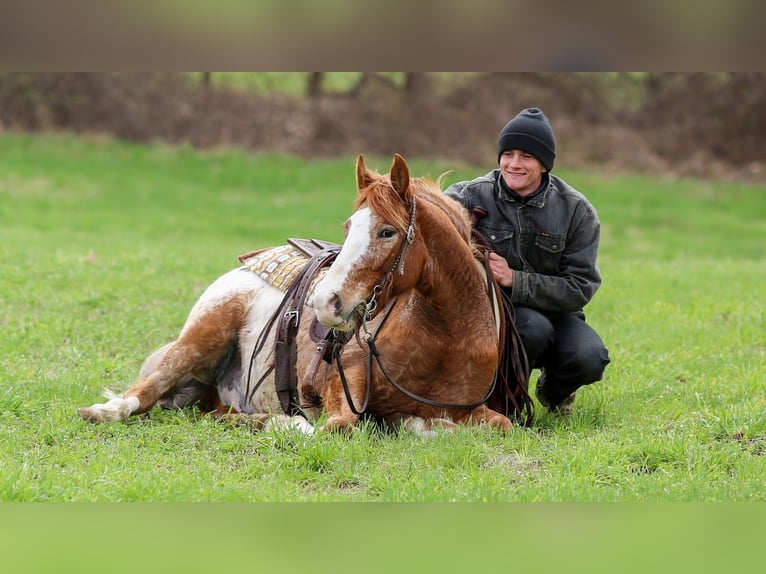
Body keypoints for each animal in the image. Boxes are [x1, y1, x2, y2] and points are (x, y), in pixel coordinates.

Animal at [78, 154, 526, 435]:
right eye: (348, 226)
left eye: (387, 232)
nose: (326, 302)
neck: (446, 337)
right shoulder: (340, 379)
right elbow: (338, 426)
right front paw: (287, 423)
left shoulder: (476, 412)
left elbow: (495, 426)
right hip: (200, 339)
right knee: (148, 388)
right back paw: (104, 411)